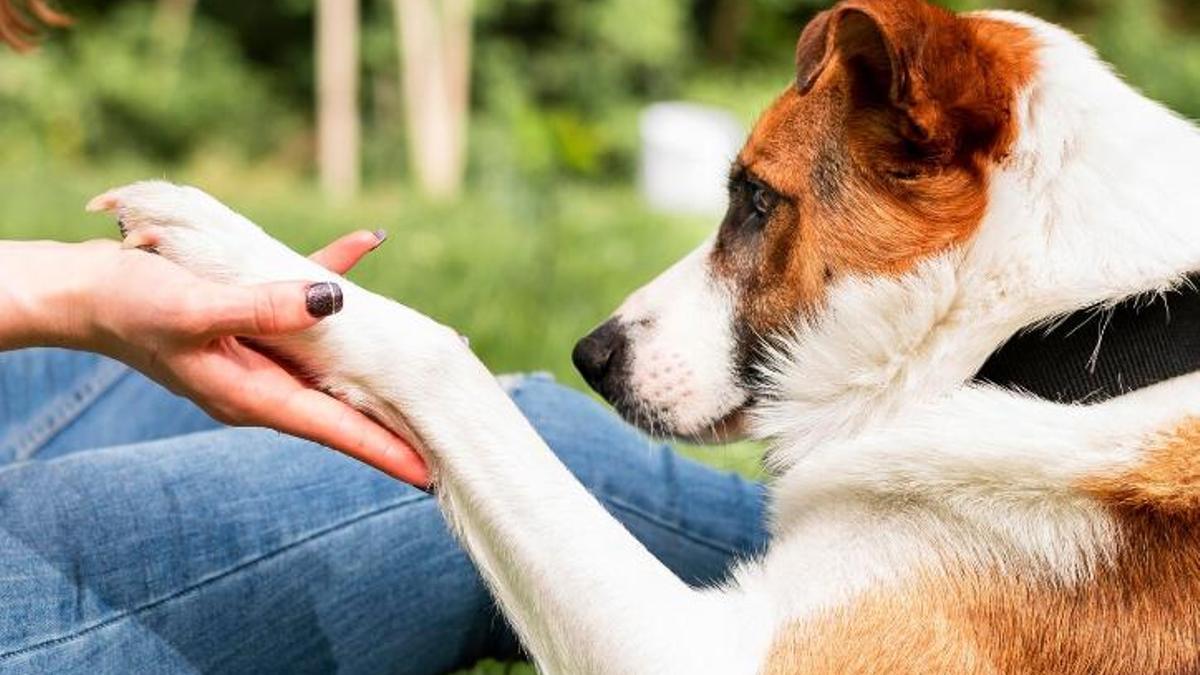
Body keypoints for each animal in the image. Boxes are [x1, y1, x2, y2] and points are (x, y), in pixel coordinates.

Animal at [88, 1, 1200, 667]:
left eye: (755, 201)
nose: (590, 357)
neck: (1068, 336)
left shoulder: (691, 649)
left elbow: (445, 359)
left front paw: (240, 251)